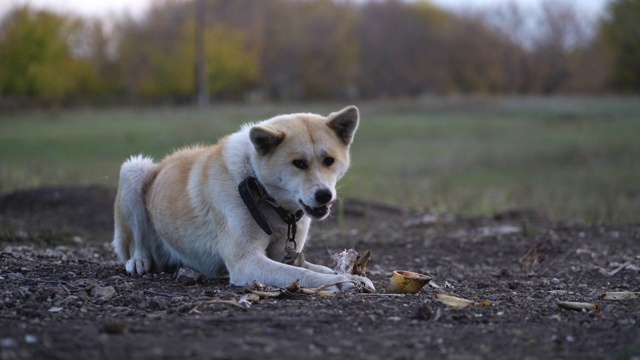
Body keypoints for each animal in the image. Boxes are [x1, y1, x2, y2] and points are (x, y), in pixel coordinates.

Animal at [112, 105, 372, 292]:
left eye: (329, 161)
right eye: (298, 163)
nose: (325, 195)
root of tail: (164, 162)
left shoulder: (283, 256)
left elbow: (317, 268)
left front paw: (349, 277)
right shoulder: (246, 261)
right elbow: (304, 274)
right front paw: (340, 283)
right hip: (133, 170)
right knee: (135, 244)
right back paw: (138, 261)